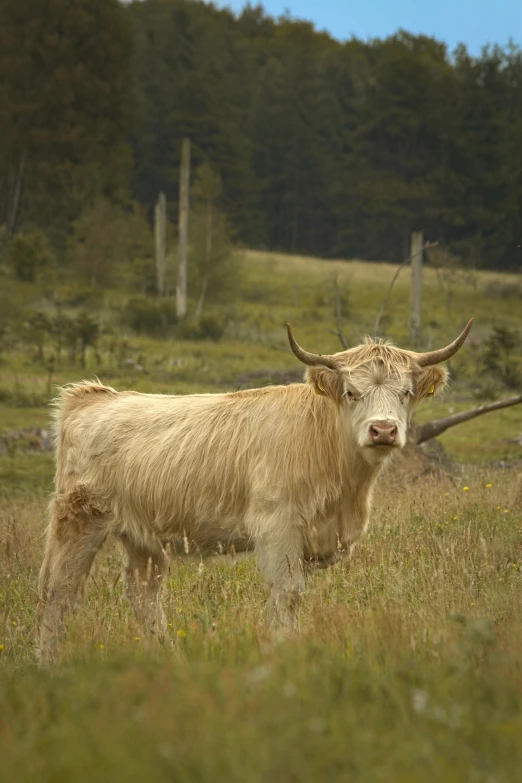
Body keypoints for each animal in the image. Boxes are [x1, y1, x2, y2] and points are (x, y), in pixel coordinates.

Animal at [38, 318, 472, 660]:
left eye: (405, 393)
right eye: (352, 393)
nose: (383, 430)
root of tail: (94, 396)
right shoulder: (277, 530)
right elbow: (287, 595)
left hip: (142, 535)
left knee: (144, 594)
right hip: (79, 519)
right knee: (59, 592)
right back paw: (48, 665)